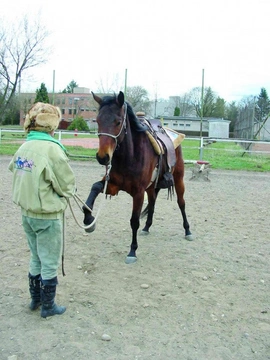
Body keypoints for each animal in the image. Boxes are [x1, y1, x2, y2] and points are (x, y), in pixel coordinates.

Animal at [83, 91, 193, 262]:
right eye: (98, 120)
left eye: (118, 121)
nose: (103, 157)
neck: (130, 155)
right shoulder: (113, 185)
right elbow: (94, 187)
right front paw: (88, 219)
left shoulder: (138, 193)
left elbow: (134, 221)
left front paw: (132, 251)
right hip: (151, 186)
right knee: (153, 203)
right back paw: (147, 227)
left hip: (178, 179)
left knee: (181, 203)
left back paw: (187, 230)